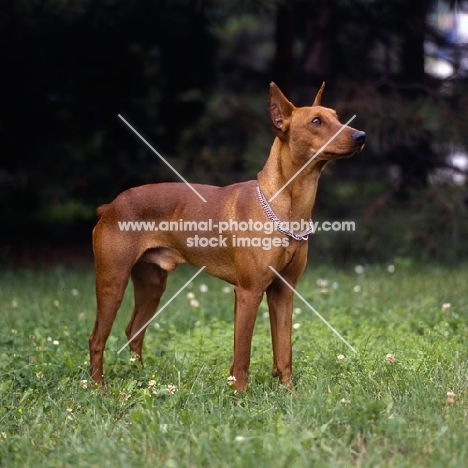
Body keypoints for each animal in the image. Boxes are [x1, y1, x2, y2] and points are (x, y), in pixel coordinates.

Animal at [88, 82, 366, 390]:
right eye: (317, 121)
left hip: (152, 285)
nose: (361, 135)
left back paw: (142, 380)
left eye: (337, 117)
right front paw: (241, 395)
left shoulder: (284, 291)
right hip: (113, 282)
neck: (286, 206)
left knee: (134, 332)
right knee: (97, 339)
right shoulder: (248, 292)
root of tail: (111, 206)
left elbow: (284, 352)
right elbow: (242, 355)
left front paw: (289, 393)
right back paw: (99, 388)